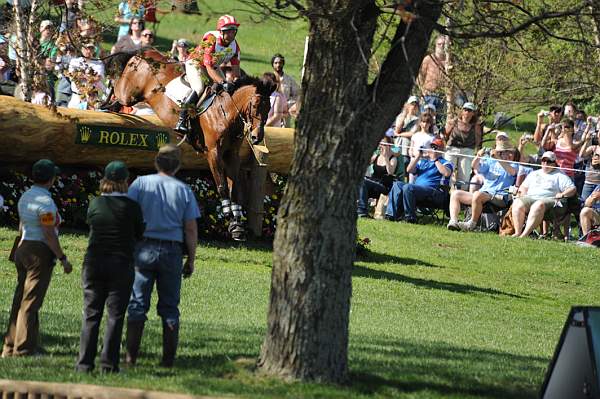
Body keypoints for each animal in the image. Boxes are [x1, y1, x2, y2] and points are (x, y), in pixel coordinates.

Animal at [106, 48, 276, 239]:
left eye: (268, 108)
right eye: (255, 105)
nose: (256, 137)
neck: (226, 112)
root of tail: (143, 52)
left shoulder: (231, 155)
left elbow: (236, 190)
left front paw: (237, 226)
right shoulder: (213, 153)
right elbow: (223, 186)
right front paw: (227, 215)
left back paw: (110, 106)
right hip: (129, 93)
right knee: (116, 86)